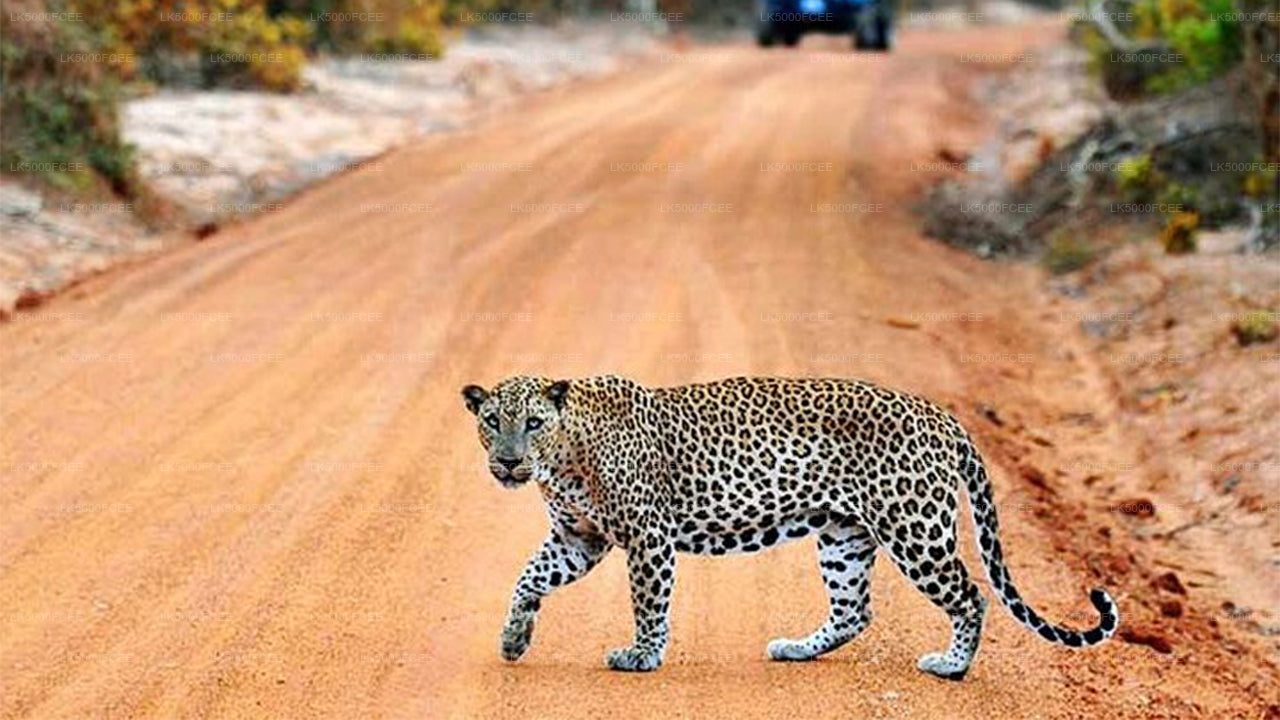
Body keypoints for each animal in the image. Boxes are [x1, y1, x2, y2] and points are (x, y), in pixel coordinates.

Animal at [463, 371, 1121, 676]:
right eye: (493, 421)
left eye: (534, 422)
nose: (510, 461)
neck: (565, 459)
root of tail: (942, 415)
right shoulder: (578, 538)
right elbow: (529, 578)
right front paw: (514, 638)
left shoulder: (648, 538)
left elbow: (648, 603)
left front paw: (642, 656)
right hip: (842, 535)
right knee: (855, 610)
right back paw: (798, 649)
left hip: (915, 528)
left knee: (971, 594)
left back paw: (951, 666)